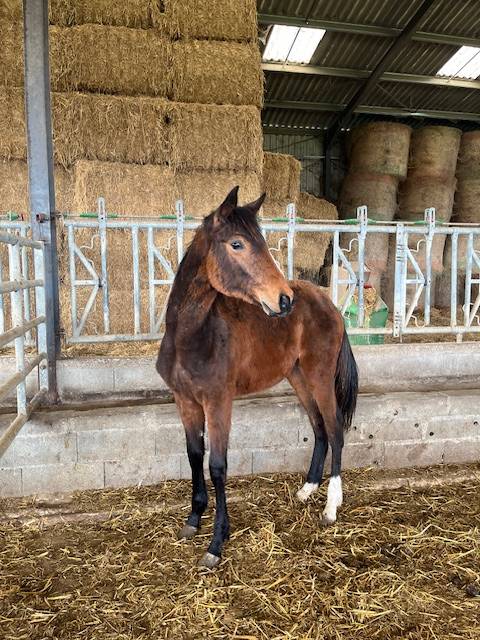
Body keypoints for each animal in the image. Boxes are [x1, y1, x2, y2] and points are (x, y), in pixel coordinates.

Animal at [156, 186, 358, 568]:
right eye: (236, 244)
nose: (283, 300)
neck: (194, 335)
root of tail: (329, 304)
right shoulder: (185, 400)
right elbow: (194, 454)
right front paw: (193, 520)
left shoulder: (219, 401)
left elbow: (217, 465)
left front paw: (216, 543)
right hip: (297, 377)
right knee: (319, 428)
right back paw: (307, 490)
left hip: (320, 376)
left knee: (335, 428)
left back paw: (331, 507)